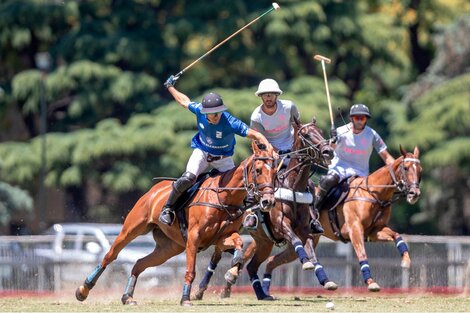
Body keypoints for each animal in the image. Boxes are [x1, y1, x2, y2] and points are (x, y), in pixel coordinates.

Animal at [75, 141, 278, 304]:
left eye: (275, 172)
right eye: (258, 170)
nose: (268, 201)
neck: (223, 197)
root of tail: (153, 190)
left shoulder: (219, 238)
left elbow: (239, 243)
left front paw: (233, 271)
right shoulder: (194, 239)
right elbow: (190, 270)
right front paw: (185, 299)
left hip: (169, 248)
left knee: (139, 263)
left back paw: (128, 297)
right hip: (132, 229)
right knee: (110, 255)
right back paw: (83, 290)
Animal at [194, 117, 338, 300]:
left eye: (320, 131)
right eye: (305, 134)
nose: (328, 151)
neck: (293, 186)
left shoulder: (305, 229)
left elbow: (311, 251)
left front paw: (325, 280)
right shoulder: (281, 224)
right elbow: (296, 241)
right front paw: (306, 263)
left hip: (263, 242)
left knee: (250, 265)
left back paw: (253, 290)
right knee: (218, 257)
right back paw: (203, 290)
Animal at [250, 145, 422, 292]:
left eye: (420, 170)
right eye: (406, 168)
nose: (414, 193)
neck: (374, 194)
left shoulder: (374, 231)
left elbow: (397, 236)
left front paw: (406, 261)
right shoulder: (354, 229)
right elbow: (362, 254)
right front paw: (371, 282)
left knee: (272, 260)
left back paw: (265, 290)